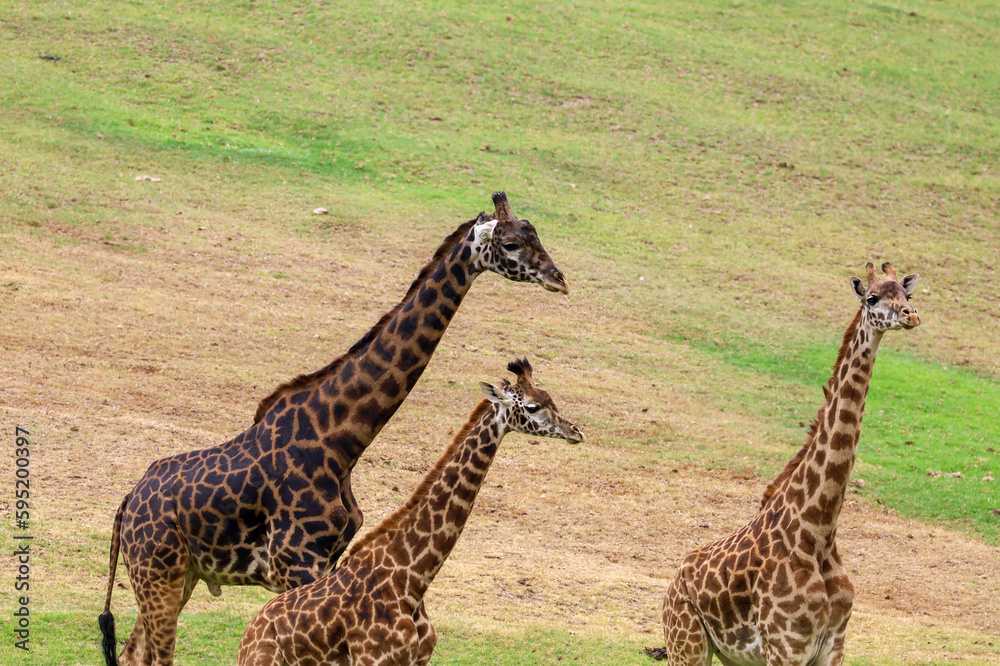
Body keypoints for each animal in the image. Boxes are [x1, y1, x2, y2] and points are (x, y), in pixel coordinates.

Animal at [237, 357, 583, 666]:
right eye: (533, 407)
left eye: (550, 398)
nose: (576, 431)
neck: (412, 578)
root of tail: (248, 635)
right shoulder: (374, 659)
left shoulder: (417, 659)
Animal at [656, 262, 920, 666]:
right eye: (872, 298)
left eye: (907, 295)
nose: (910, 316)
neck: (818, 531)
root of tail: (673, 581)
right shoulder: (785, 646)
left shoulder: (834, 646)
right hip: (686, 644)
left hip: (730, 657)